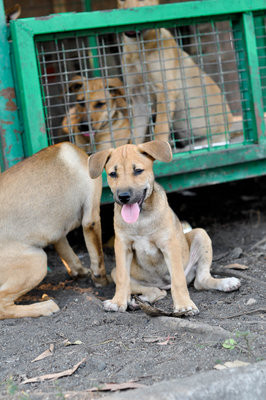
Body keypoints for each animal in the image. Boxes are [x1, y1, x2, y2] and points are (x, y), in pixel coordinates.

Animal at [0, 142, 108, 320]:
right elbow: (98, 258)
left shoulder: (57, 234)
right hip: (38, 261)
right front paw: (103, 282)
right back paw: (44, 307)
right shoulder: (91, 219)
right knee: (2, 305)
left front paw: (80, 273)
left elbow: (69, 255)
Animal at [89, 141, 241, 316]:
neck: (141, 218)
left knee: (200, 281)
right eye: (113, 174)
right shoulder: (122, 246)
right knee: (156, 291)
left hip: (200, 235)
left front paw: (184, 305)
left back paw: (227, 283)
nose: (124, 196)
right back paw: (135, 301)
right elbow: (122, 279)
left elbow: (178, 280)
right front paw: (118, 302)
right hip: (118, 273)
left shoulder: (169, 245)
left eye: (138, 171)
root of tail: (162, 283)